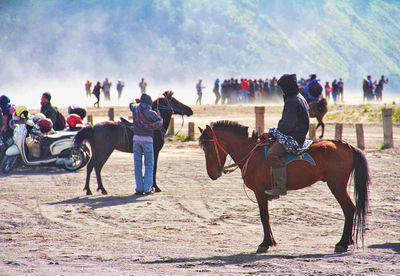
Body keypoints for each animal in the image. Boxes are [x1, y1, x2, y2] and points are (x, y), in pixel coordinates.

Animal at [198, 122, 370, 253]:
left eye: (209, 148)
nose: (212, 174)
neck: (252, 154)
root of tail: (346, 146)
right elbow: (266, 218)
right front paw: (271, 242)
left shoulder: (260, 193)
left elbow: (264, 217)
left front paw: (265, 243)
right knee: (350, 209)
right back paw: (347, 241)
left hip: (336, 186)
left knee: (348, 209)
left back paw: (342, 243)